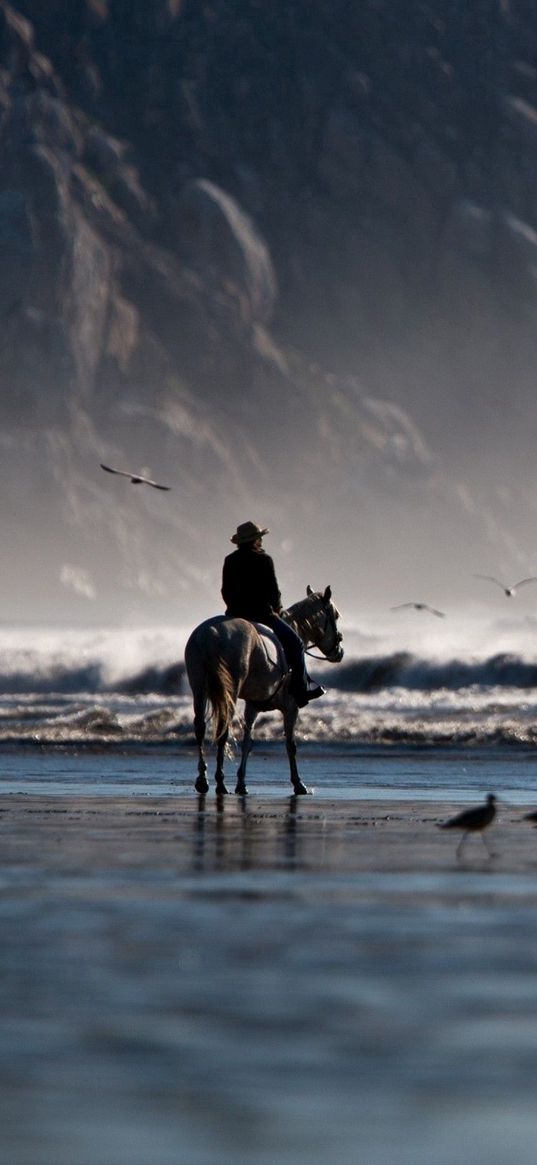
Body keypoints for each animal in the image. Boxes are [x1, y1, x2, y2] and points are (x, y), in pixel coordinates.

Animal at [184, 587, 342, 796]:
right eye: (335, 616)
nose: (339, 651)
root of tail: (208, 634)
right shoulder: (291, 707)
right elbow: (290, 745)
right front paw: (298, 783)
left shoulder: (253, 707)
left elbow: (247, 742)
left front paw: (241, 783)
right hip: (230, 690)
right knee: (223, 729)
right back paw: (220, 782)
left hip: (199, 687)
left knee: (200, 727)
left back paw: (203, 779)